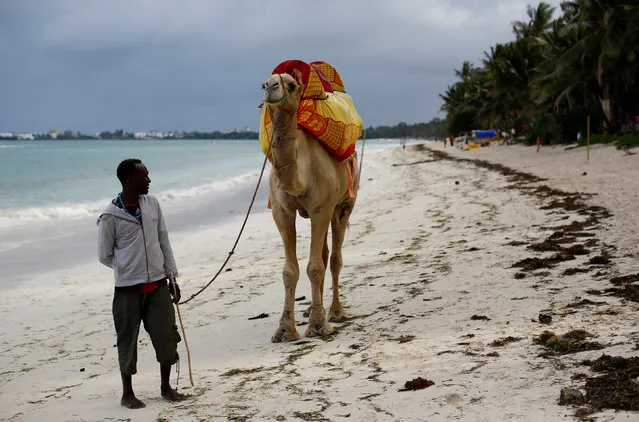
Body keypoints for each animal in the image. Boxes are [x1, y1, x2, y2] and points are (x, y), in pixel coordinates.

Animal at [262, 73, 360, 342]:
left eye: (291, 85)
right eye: (264, 82)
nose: (271, 87)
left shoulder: (321, 209)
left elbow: (315, 266)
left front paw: (318, 325)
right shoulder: (281, 212)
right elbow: (289, 271)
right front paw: (285, 329)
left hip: (344, 204)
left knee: (334, 258)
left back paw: (336, 312)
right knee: (325, 254)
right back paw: (313, 309)